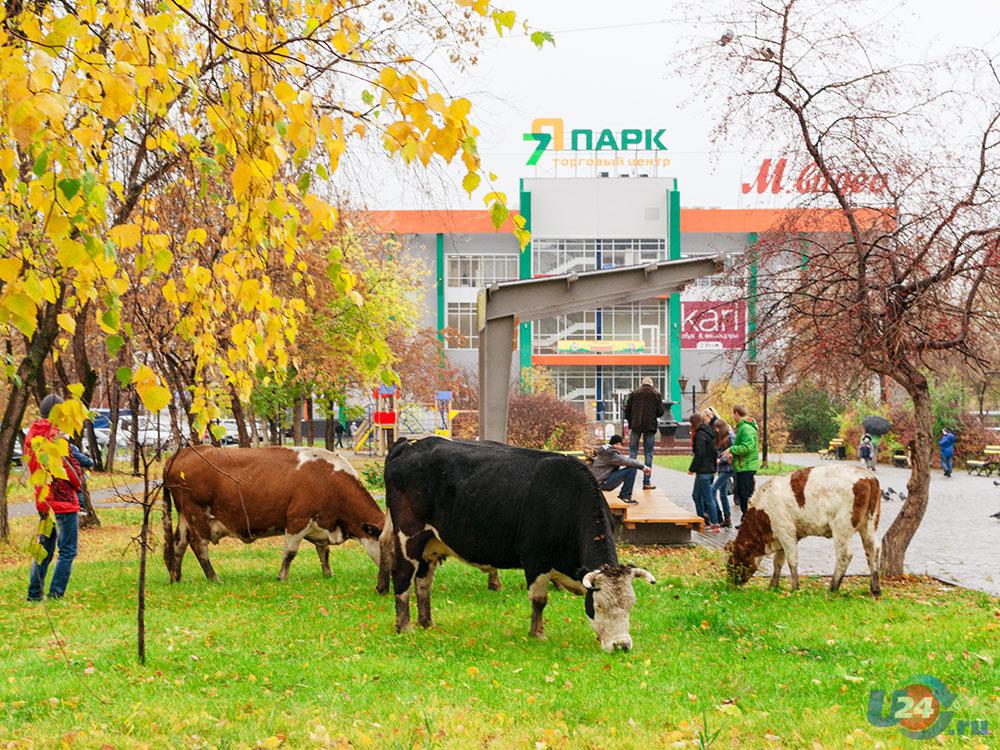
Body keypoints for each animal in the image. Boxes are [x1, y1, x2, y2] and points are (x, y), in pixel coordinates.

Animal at [162, 446, 384, 588]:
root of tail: (183, 452)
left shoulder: (320, 524)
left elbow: (324, 552)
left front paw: (328, 575)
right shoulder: (297, 520)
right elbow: (290, 552)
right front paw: (282, 577)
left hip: (184, 516)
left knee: (179, 543)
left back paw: (176, 578)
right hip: (196, 514)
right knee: (198, 545)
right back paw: (214, 578)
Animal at [382, 438, 656, 656]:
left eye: (630, 605)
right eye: (598, 605)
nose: (621, 645)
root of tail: (409, 445)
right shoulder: (536, 560)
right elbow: (539, 600)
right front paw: (537, 634)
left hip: (431, 543)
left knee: (423, 582)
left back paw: (426, 622)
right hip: (409, 536)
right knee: (403, 577)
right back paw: (405, 626)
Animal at [728, 464, 884, 600]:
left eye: (733, 561)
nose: (730, 583)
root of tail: (868, 476)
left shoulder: (786, 531)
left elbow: (791, 560)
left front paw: (795, 588)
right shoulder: (783, 536)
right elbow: (778, 561)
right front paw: (773, 586)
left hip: (842, 527)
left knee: (845, 555)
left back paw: (833, 587)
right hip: (870, 524)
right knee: (872, 550)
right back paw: (875, 588)